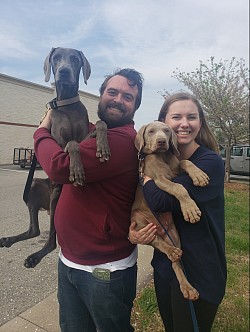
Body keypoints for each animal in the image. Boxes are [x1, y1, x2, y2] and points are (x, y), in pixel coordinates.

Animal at [0, 47, 110, 268]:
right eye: (56, 58)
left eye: (74, 59)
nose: (64, 72)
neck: (66, 105)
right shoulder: (59, 144)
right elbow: (71, 143)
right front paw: (77, 168)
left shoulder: (86, 134)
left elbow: (99, 124)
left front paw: (102, 145)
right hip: (39, 187)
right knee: (42, 234)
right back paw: (23, 249)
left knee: (39, 233)